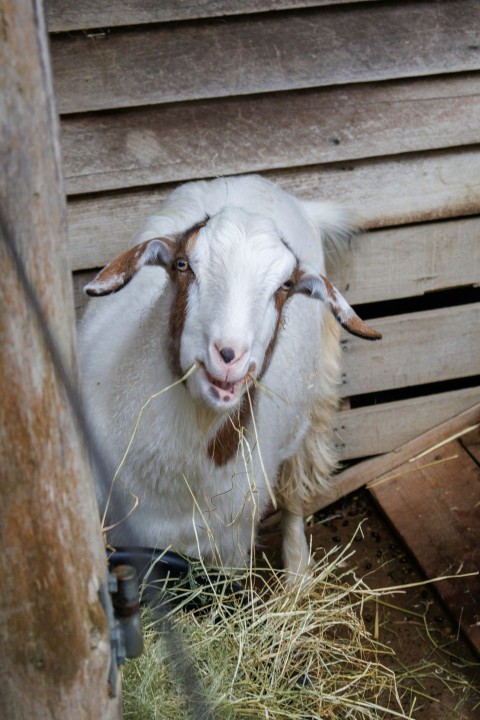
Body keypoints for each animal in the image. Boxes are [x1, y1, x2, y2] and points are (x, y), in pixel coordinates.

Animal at [78, 176, 378, 584]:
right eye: (183, 264)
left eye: (285, 286)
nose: (228, 355)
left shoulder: (230, 547)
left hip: (314, 402)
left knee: (295, 488)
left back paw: (297, 575)